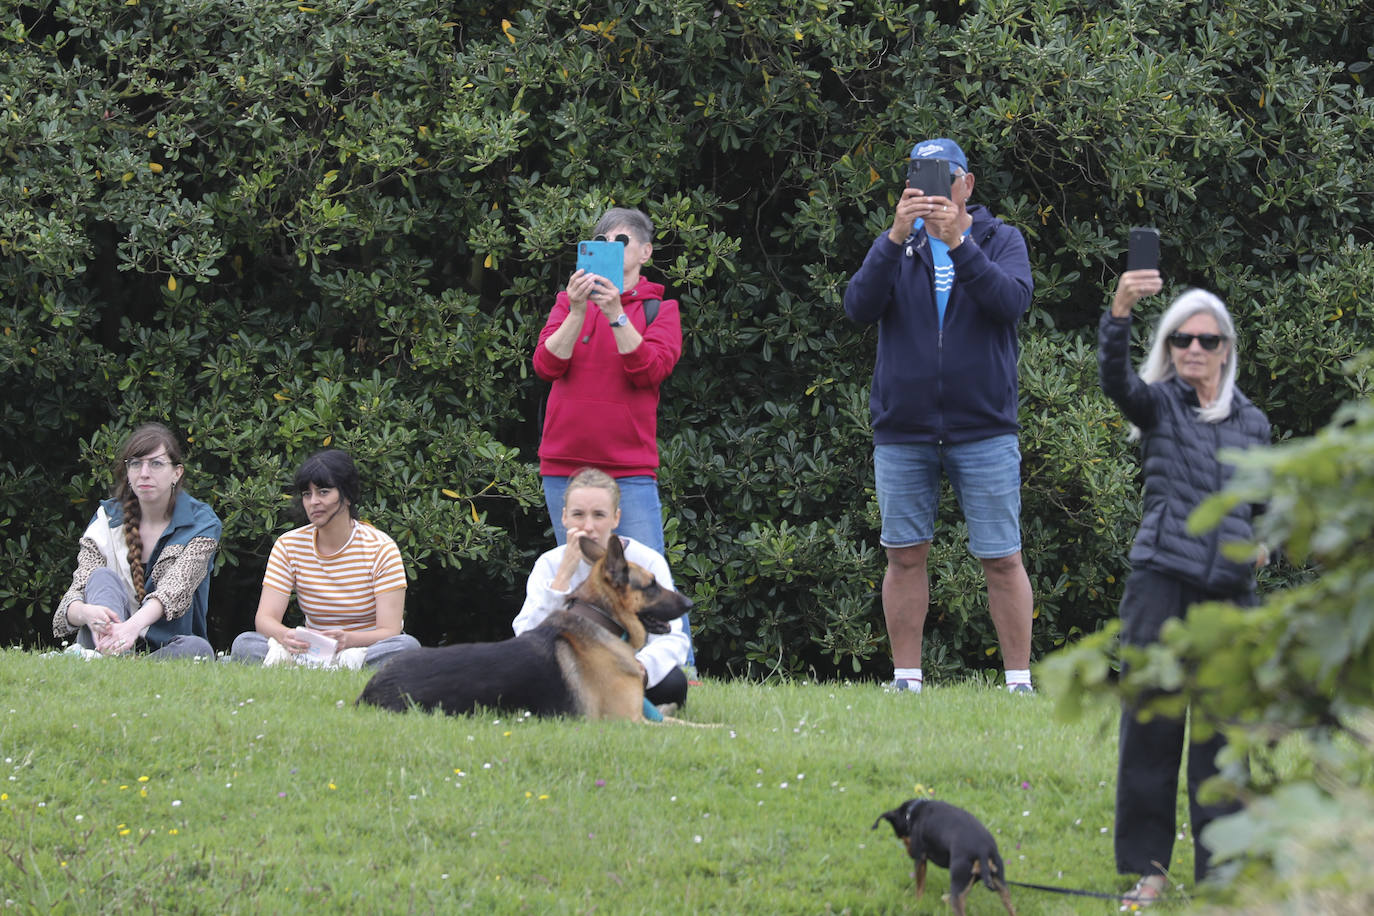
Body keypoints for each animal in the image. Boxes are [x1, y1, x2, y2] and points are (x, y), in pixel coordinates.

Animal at [354, 538, 687, 725]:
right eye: (652, 585)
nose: (690, 603)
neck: (600, 619)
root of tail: (369, 692)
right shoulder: (629, 722)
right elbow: (689, 727)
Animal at [873, 796, 1016, 911]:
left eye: (901, 836)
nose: (909, 852)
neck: (912, 813)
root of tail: (983, 850)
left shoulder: (920, 859)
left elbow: (919, 887)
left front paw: (917, 904)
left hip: (958, 888)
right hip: (1001, 886)